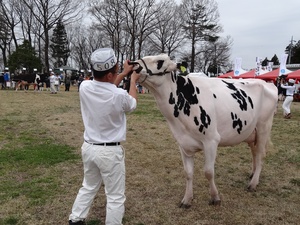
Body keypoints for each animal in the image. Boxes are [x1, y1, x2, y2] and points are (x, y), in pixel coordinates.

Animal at [130, 53, 278, 208]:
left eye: (160, 61)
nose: (133, 64)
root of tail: (266, 83)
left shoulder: (211, 140)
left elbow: (208, 172)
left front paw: (215, 197)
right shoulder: (183, 143)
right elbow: (188, 173)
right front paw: (187, 199)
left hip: (263, 127)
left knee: (261, 155)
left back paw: (253, 184)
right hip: (251, 132)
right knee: (254, 152)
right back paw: (252, 175)